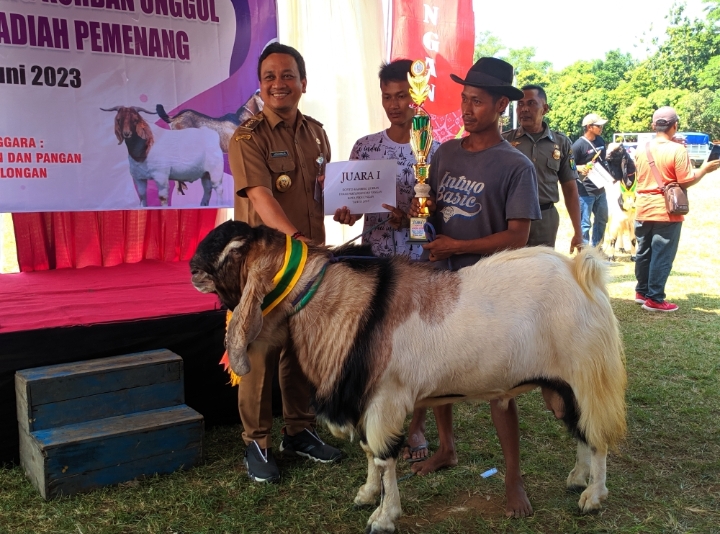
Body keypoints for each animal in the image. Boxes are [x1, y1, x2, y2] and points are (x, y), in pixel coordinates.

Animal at [190, 221, 624, 534]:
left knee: (598, 435)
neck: (349, 306)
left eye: (235, 249)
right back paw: (577, 478)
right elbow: (368, 451)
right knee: (579, 429)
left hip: (587, 374)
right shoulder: (363, 398)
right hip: (560, 385)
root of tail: (580, 271)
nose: (193, 270)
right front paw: (366, 494)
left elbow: (384, 457)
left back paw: (594, 496)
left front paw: (384, 517)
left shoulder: (386, 398)